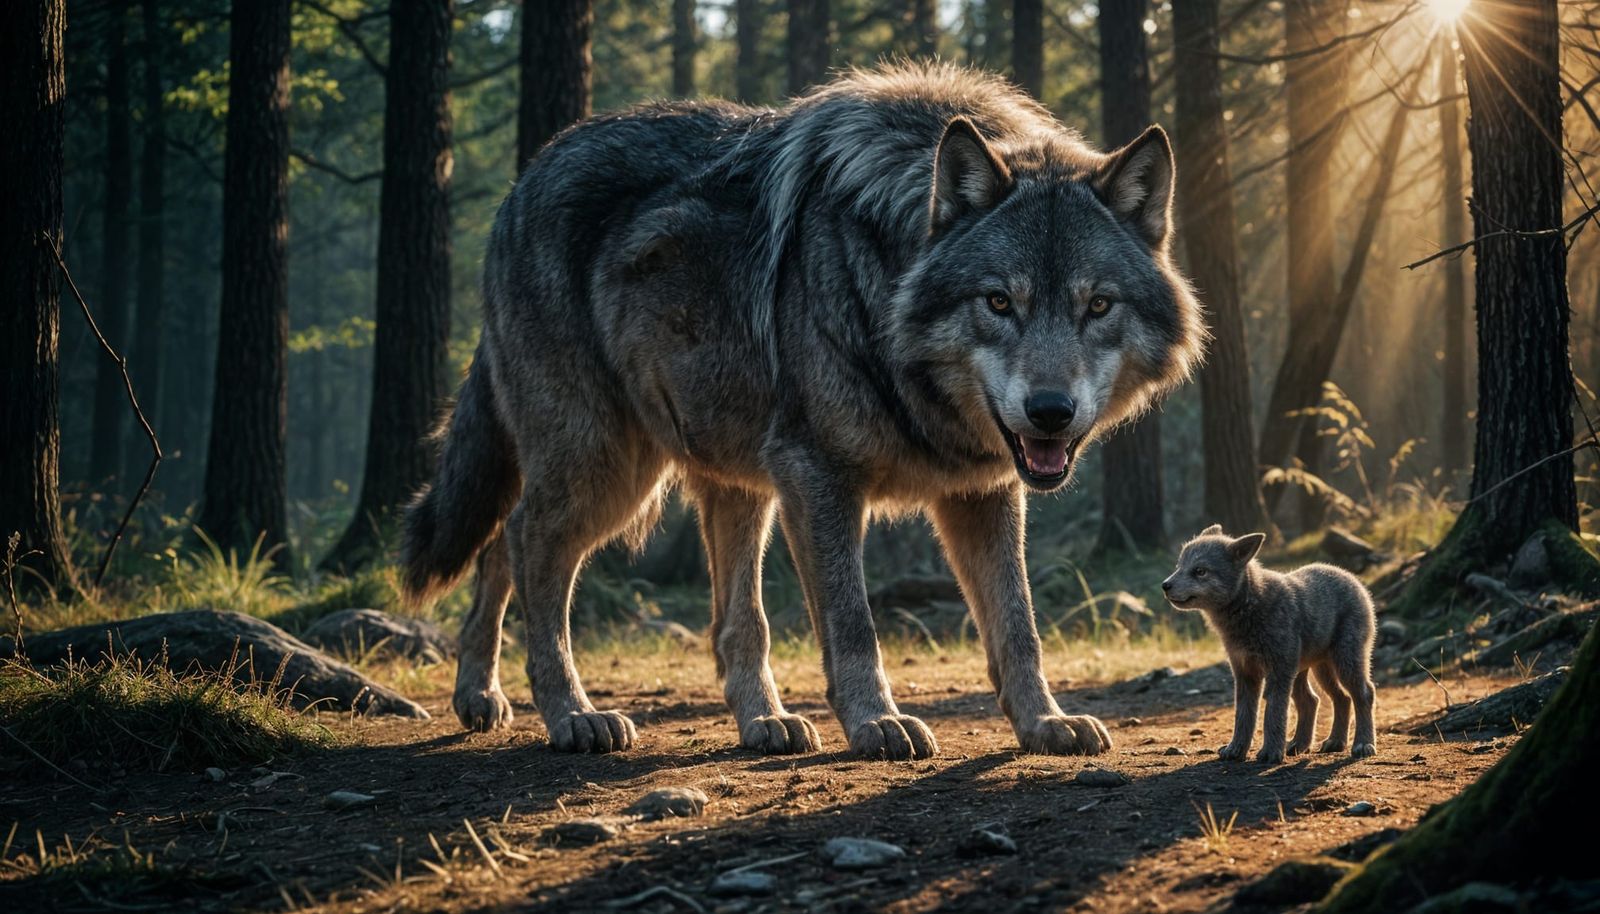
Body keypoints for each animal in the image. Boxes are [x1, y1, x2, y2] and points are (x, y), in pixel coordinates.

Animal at [400, 63, 1205, 760]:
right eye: (999, 302)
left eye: (1097, 305)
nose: (1049, 413)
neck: (884, 287)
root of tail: (521, 182)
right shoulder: (820, 477)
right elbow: (853, 622)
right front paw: (877, 722)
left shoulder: (981, 490)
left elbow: (1018, 626)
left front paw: (1045, 723)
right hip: (611, 471)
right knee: (526, 539)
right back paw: (569, 713)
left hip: (730, 484)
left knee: (707, 614)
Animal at [1161, 525, 1378, 763]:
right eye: (1179, 566)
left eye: (1200, 571)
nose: (1165, 585)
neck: (1251, 606)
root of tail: (1351, 577)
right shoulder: (1245, 672)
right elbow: (1244, 715)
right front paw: (1236, 750)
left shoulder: (1278, 671)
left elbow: (1273, 713)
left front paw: (1270, 753)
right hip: (1315, 670)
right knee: (1325, 699)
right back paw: (1319, 743)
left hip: (1344, 662)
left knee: (1364, 693)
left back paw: (1363, 744)